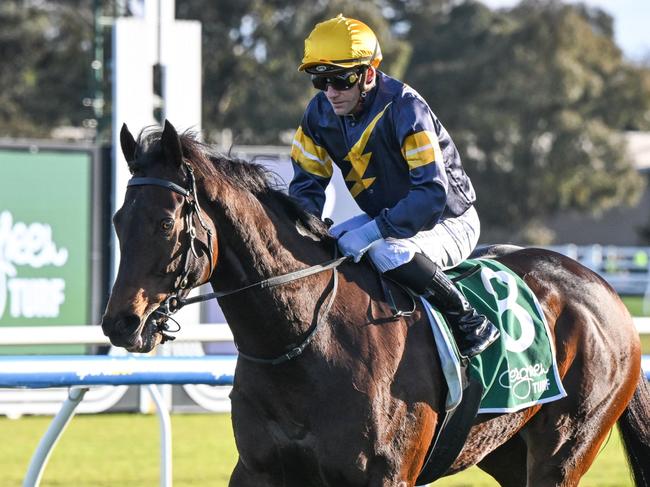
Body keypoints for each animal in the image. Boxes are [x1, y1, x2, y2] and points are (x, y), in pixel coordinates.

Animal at [101, 119, 648, 487]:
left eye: (166, 223)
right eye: (117, 220)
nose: (120, 323)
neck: (305, 343)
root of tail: (602, 287)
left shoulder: (384, 476)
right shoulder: (259, 470)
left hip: (564, 449)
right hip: (509, 450)